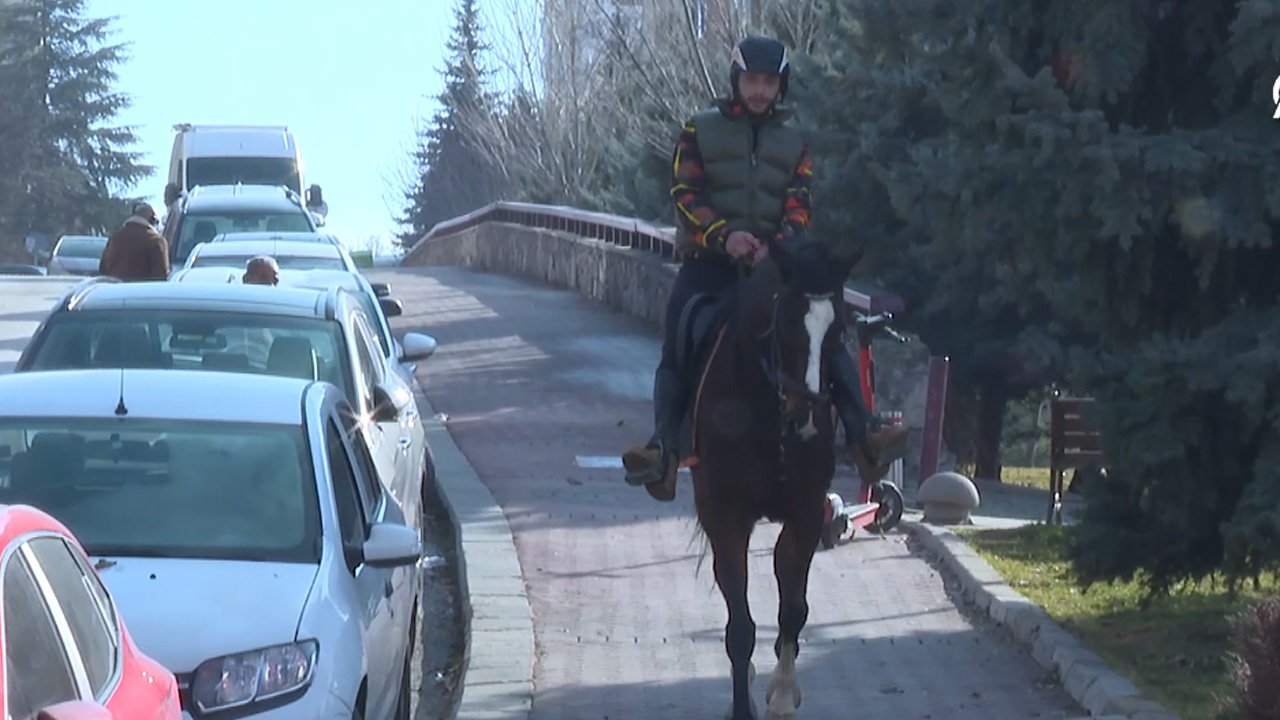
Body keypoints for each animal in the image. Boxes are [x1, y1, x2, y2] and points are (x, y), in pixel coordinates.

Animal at [686, 239, 855, 717]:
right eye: (789, 324)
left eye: (839, 331)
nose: (808, 415)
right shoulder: (727, 517)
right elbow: (740, 627)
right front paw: (743, 705)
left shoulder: (807, 512)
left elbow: (793, 609)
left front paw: (782, 693)